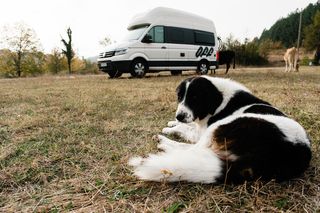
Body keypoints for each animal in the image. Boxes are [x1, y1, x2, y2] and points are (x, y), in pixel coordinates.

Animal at [129, 76, 312, 183]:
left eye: (195, 98)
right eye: (180, 97)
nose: (179, 115)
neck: (219, 97)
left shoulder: (202, 129)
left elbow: (186, 128)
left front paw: (169, 129)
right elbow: (187, 124)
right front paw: (171, 123)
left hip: (223, 125)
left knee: (192, 149)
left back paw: (164, 143)